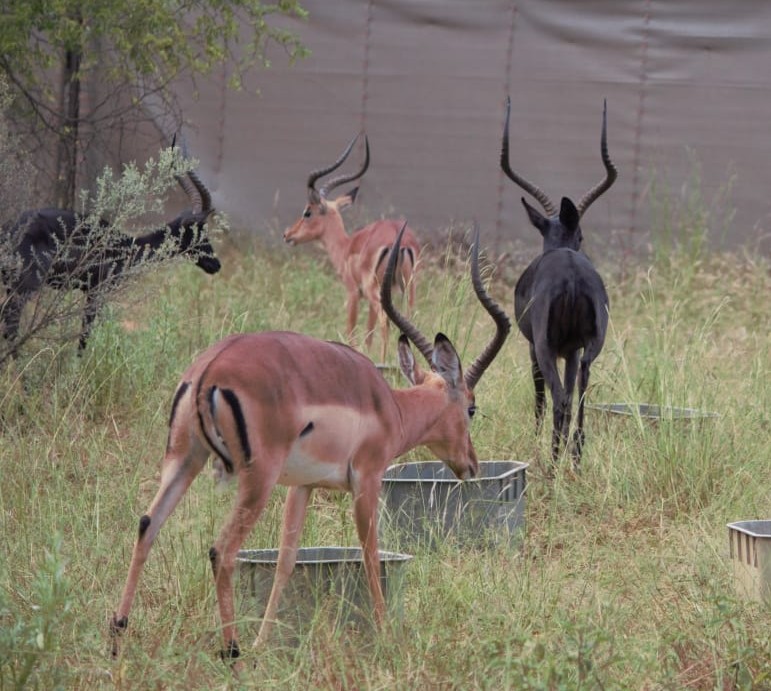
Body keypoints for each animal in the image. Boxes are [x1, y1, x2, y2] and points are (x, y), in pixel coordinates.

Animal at [1, 166, 220, 352]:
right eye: (200, 230)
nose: (216, 264)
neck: (128, 247)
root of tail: (13, 230)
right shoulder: (96, 292)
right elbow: (85, 334)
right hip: (26, 287)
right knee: (10, 323)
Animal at [110, 224, 510, 661]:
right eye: (471, 407)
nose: (471, 465)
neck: (389, 407)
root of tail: (207, 372)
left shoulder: (300, 487)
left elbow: (287, 560)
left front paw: (263, 641)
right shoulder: (367, 479)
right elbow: (370, 554)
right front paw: (385, 636)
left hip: (185, 459)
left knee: (148, 524)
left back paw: (117, 639)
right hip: (256, 479)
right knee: (222, 550)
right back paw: (231, 652)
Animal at [283, 134, 420, 362]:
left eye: (307, 212)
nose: (287, 234)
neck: (346, 247)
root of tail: (400, 241)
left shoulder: (353, 292)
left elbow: (353, 331)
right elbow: (368, 335)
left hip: (376, 291)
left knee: (385, 322)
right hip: (408, 287)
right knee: (408, 319)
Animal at [500, 96, 617, 468]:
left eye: (581, 235)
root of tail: (571, 276)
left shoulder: (536, 348)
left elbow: (540, 397)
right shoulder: (574, 349)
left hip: (545, 347)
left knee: (559, 398)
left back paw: (552, 463)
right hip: (590, 347)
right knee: (578, 394)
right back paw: (575, 457)